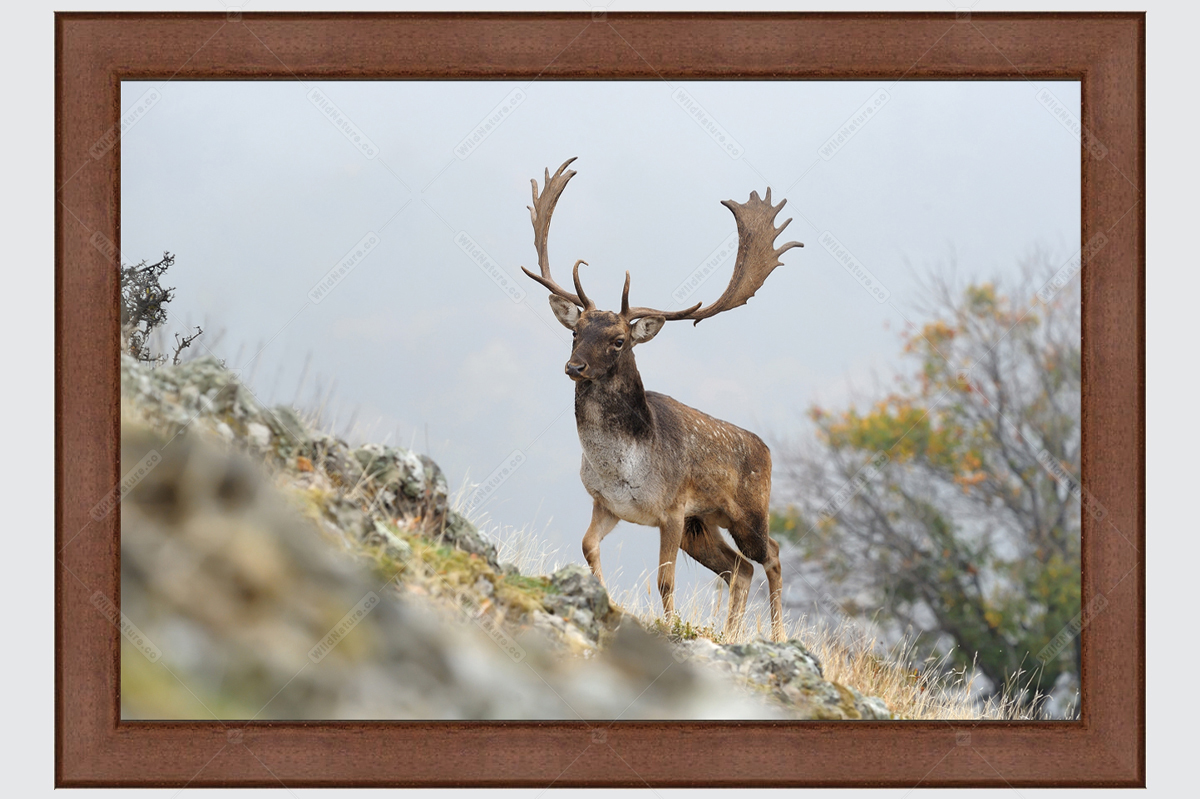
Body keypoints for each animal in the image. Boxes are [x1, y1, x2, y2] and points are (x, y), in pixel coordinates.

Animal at [520, 158, 802, 643]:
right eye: (576, 332)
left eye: (618, 341)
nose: (575, 366)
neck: (621, 466)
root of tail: (766, 450)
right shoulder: (606, 505)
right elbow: (587, 547)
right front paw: (602, 597)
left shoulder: (671, 509)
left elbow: (665, 579)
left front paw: (671, 628)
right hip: (702, 526)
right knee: (739, 568)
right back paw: (730, 634)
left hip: (748, 513)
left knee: (773, 555)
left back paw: (779, 636)